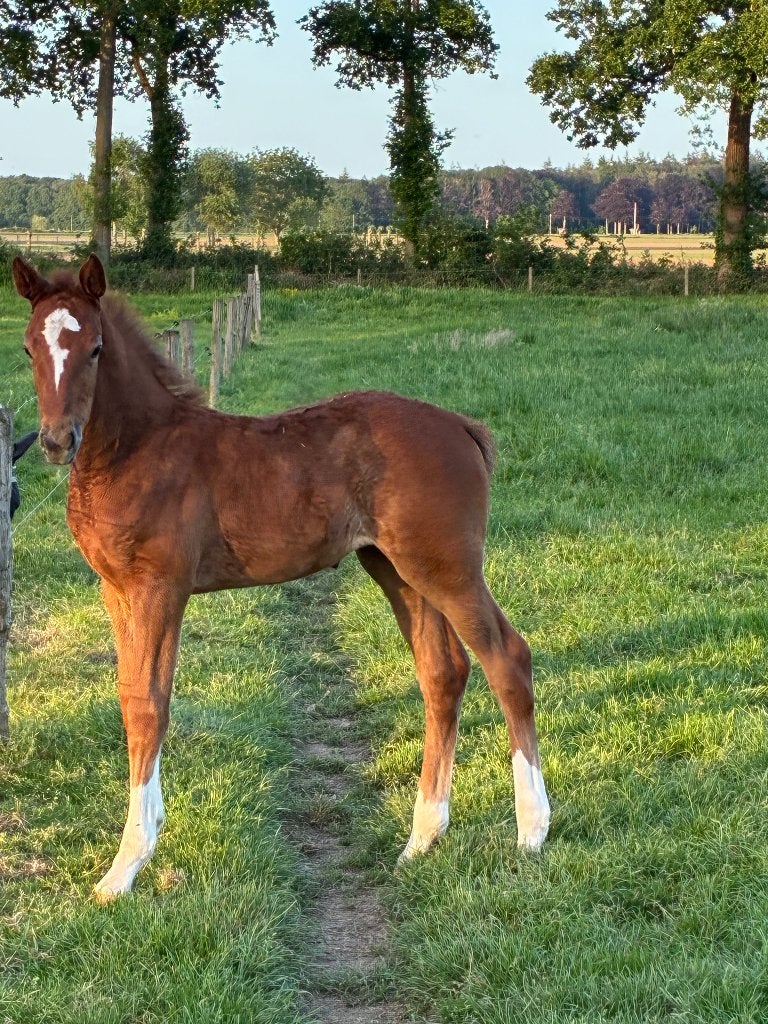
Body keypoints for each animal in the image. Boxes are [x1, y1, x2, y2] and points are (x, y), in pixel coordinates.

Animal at [12, 255, 550, 901]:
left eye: (93, 348)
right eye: (28, 348)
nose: (55, 440)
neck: (135, 451)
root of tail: (460, 425)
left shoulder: (159, 587)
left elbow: (148, 704)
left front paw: (125, 867)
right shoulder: (115, 590)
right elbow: (129, 696)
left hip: (447, 566)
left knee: (507, 658)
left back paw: (532, 832)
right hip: (397, 569)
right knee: (443, 673)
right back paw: (421, 840)